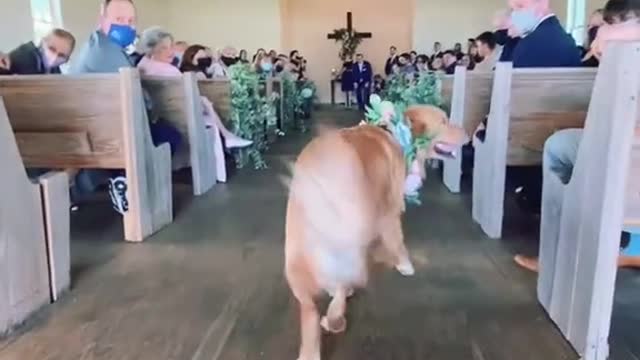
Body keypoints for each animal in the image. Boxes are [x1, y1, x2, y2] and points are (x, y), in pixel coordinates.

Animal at [284, 105, 464, 360]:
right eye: (444, 121)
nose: (468, 132)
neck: (394, 133)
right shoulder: (390, 212)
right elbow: (398, 242)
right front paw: (405, 265)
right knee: (339, 289)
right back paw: (336, 316)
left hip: (296, 259)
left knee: (310, 309)